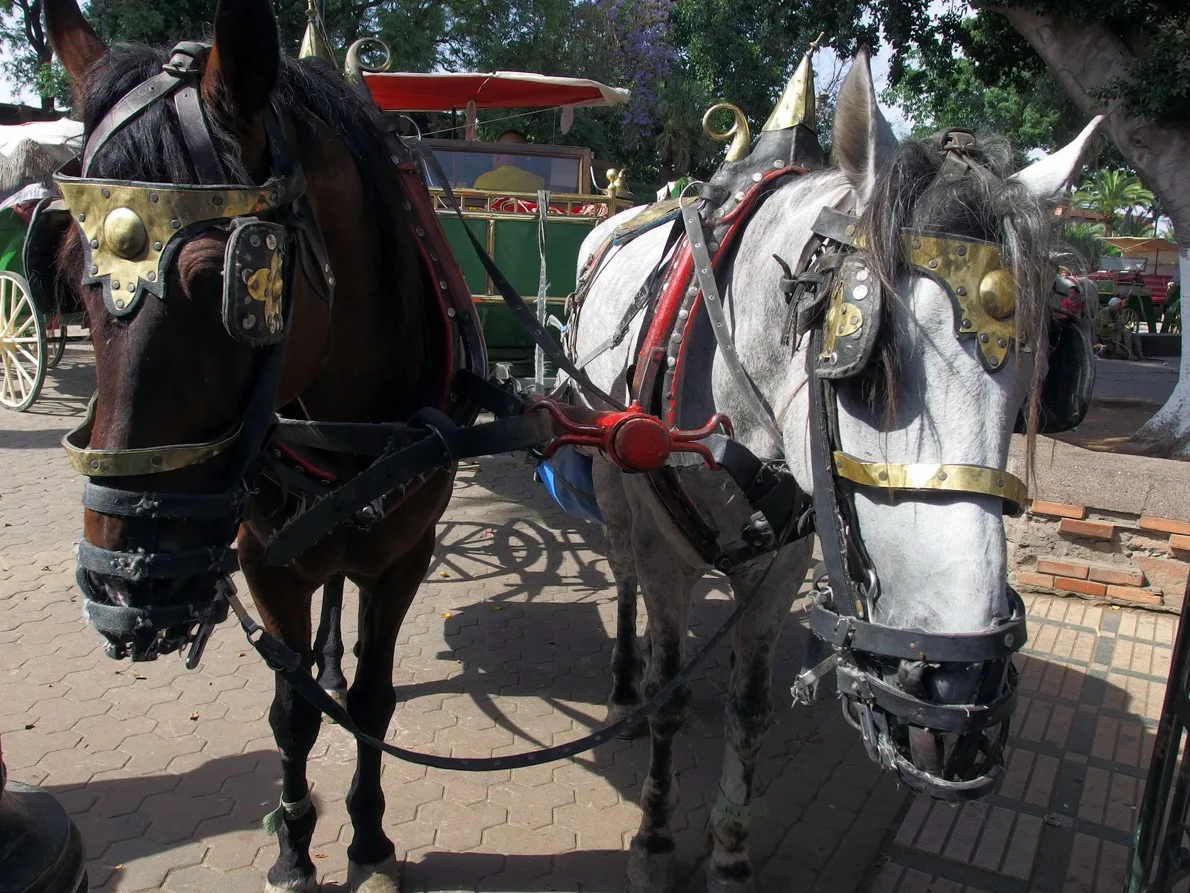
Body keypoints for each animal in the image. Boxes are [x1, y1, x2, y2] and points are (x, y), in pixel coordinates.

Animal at [35, 3, 468, 890]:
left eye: (223, 282)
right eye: (63, 268)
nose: (124, 585)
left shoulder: (406, 556)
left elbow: (374, 702)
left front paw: (370, 838)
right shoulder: (267, 560)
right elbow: (293, 712)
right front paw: (294, 845)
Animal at [571, 52, 1099, 893]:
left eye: (1034, 382)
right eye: (866, 368)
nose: (960, 685)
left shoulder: (783, 561)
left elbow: (752, 708)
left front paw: (730, 851)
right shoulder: (666, 552)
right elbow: (666, 697)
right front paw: (654, 839)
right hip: (608, 471)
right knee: (621, 569)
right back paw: (625, 674)